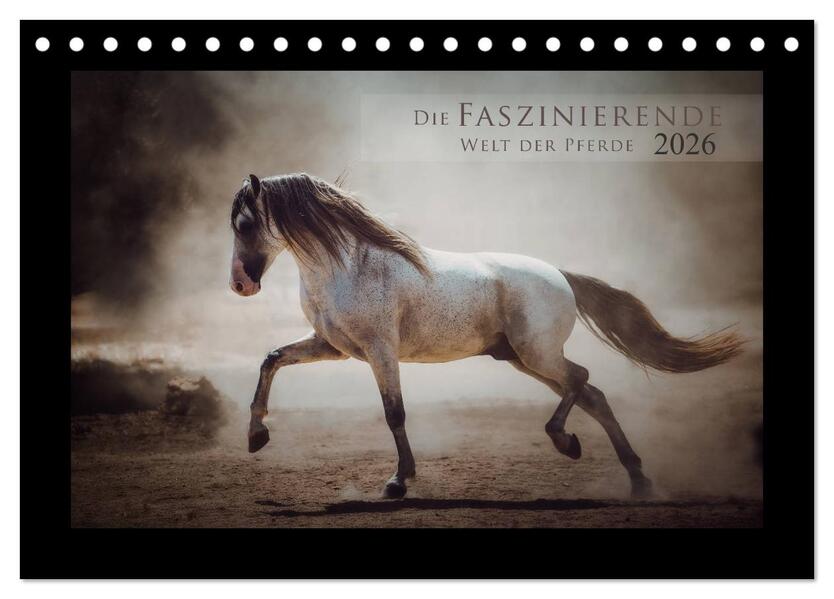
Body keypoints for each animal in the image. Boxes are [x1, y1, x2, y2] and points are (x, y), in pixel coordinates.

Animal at [229, 172, 743, 499]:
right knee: (593, 394)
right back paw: (636, 480)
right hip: (520, 359)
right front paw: (256, 436)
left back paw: (567, 443)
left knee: (581, 379)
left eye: (246, 223)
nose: (241, 286)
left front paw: (398, 482)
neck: (347, 266)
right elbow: (271, 358)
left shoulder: (380, 352)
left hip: (536, 355)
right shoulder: (333, 348)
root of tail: (560, 274)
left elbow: (395, 413)